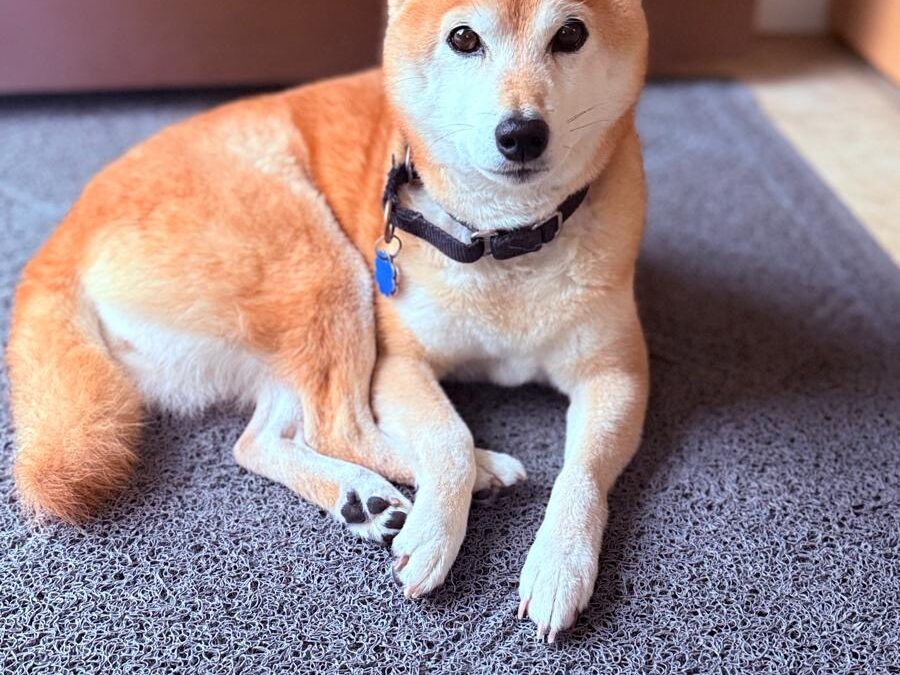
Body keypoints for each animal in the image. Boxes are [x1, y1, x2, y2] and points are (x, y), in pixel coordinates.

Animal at [6, 0, 649, 641]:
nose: (521, 133)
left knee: (259, 441)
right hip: (320, 261)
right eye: (464, 38)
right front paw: (439, 527)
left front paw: (560, 565)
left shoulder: (617, 378)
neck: (502, 243)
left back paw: (359, 497)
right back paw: (472, 474)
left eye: (570, 34)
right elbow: (449, 440)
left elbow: (583, 472)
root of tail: (68, 227)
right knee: (339, 428)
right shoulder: (399, 363)